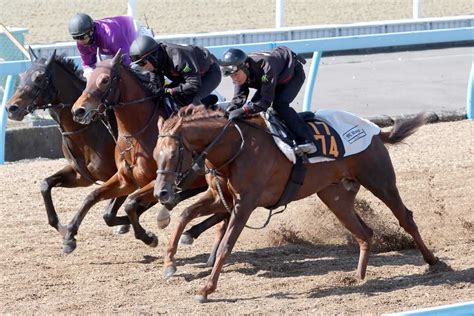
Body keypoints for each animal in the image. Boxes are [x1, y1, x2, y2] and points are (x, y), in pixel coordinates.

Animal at [5, 50, 133, 235]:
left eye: (39, 77)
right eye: (22, 76)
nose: (11, 108)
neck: (85, 131)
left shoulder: (122, 175)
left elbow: (109, 214)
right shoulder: (81, 176)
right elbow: (45, 184)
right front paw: (60, 226)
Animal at [154, 105, 438, 302]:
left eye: (173, 154)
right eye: (155, 155)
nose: (162, 193)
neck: (236, 147)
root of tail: (377, 131)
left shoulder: (244, 205)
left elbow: (225, 246)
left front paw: (205, 289)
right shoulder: (221, 199)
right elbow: (185, 215)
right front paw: (169, 263)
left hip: (380, 181)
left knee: (405, 217)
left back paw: (432, 261)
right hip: (334, 196)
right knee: (364, 232)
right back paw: (358, 276)